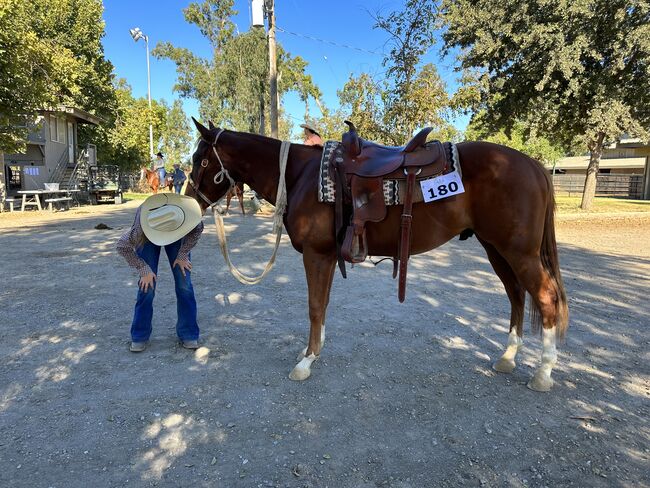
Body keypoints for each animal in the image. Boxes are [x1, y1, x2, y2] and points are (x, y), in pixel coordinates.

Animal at [184, 122, 568, 392]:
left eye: (200, 160)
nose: (192, 201)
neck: (299, 175)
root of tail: (533, 164)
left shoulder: (316, 255)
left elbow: (314, 306)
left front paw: (306, 361)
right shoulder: (327, 256)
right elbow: (323, 304)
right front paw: (315, 349)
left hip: (519, 252)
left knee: (545, 297)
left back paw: (543, 372)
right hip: (496, 249)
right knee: (516, 295)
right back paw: (508, 357)